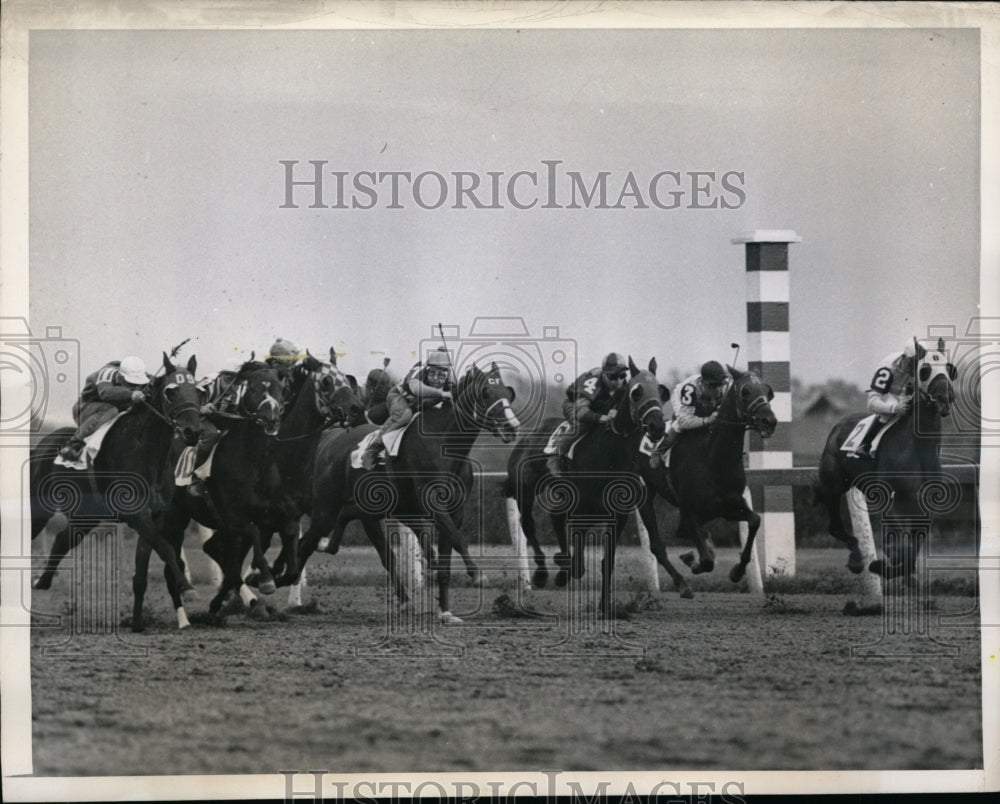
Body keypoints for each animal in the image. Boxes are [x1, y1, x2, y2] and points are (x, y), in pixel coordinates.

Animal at [31, 354, 204, 632]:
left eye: (198, 391)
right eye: (171, 391)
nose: (192, 432)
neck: (147, 451)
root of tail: (40, 445)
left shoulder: (154, 516)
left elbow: (142, 570)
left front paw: (137, 623)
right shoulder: (137, 515)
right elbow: (166, 548)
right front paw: (187, 588)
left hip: (86, 516)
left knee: (61, 540)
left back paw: (42, 582)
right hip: (39, 508)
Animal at [292, 362, 520, 620]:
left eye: (508, 392)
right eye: (486, 393)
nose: (511, 427)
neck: (443, 445)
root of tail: (328, 440)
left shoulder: (455, 510)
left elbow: (447, 554)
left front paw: (446, 611)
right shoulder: (432, 502)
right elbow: (458, 539)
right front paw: (478, 575)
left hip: (370, 508)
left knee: (365, 539)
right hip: (328, 509)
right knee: (308, 543)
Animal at [508, 358, 664, 616]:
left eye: (660, 391)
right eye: (636, 392)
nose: (657, 426)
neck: (609, 455)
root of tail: (527, 437)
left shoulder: (617, 514)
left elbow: (606, 561)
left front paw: (605, 607)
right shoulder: (582, 508)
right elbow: (578, 562)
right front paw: (563, 569)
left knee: (554, 519)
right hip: (526, 490)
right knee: (528, 524)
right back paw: (541, 574)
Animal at [636, 364, 776, 584]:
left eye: (769, 391)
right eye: (745, 391)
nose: (769, 421)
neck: (714, 458)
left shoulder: (728, 505)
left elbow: (755, 520)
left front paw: (737, 571)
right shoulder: (689, 510)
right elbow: (706, 560)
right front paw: (695, 561)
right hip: (645, 495)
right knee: (657, 545)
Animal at [816, 340, 956, 584]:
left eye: (949, 368)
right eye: (925, 369)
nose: (944, 399)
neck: (918, 449)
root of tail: (837, 425)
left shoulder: (923, 508)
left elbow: (911, 551)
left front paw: (898, 571)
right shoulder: (894, 503)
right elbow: (904, 549)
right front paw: (880, 565)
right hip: (833, 484)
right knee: (834, 526)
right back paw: (857, 559)